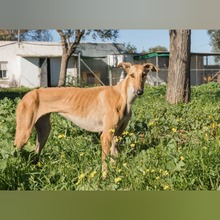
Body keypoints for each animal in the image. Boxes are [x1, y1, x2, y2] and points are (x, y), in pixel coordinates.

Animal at [14, 62, 158, 175]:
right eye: (132, 75)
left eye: (144, 75)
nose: (139, 92)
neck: (122, 96)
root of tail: (27, 95)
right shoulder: (105, 136)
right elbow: (105, 161)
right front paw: (104, 177)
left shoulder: (116, 135)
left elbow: (114, 158)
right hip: (24, 133)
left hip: (44, 131)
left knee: (35, 152)